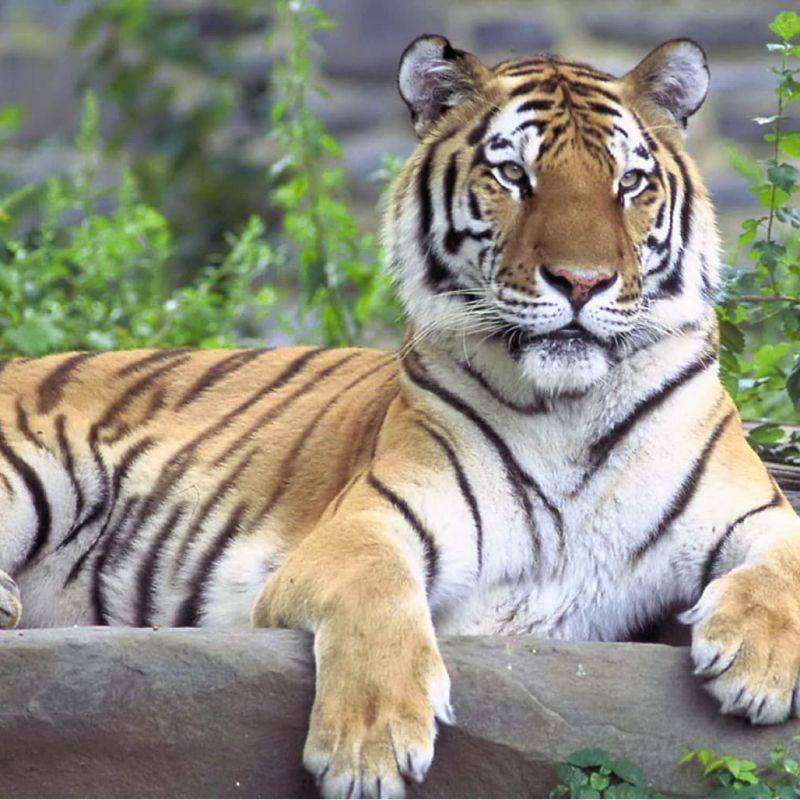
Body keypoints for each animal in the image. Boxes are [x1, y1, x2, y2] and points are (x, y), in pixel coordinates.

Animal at [0, 32, 798, 799]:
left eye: (628, 182)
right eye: (514, 176)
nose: (582, 282)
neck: (567, 408)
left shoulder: (755, 510)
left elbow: (788, 559)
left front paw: (757, 665)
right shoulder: (366, 524)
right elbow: (378, 592)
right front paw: (368, 750)